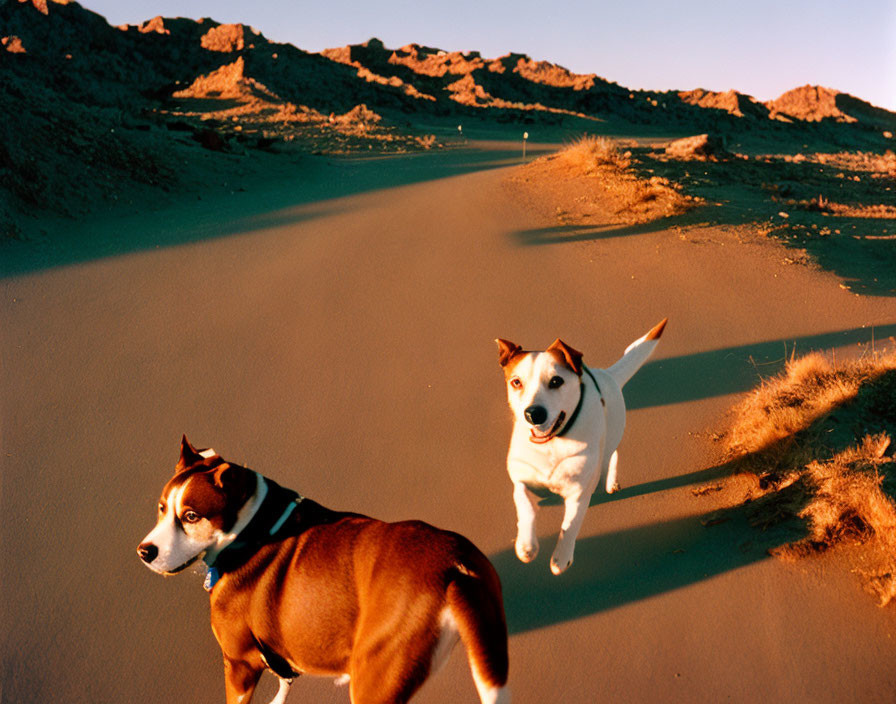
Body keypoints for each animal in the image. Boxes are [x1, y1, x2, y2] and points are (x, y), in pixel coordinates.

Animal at [136, 438, 508, 700]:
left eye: (191, 516)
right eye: (161, 508)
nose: (144, 552)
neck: (253, 528)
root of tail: (454, 568)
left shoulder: (239, 664)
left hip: (375, 674)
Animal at [496, 322, 664, 576]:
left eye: (556, 381)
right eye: (516, 382)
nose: (534, 414)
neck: (552, 443)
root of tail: (607, 374)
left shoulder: (578, 493)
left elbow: (571, 524)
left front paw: (561, 557)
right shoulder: (521, 481)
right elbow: (525, 508)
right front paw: (526, 546)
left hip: (612, 432)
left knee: (611, 454)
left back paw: (610, 481)